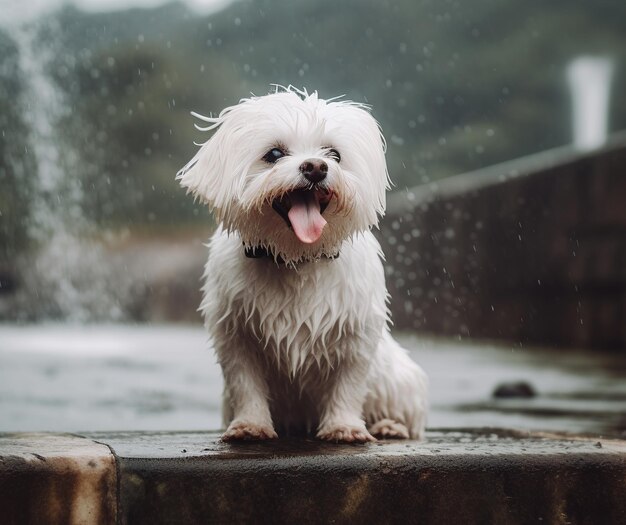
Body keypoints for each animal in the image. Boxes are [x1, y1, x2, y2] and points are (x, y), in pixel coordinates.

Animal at [178, 87, 426, 442]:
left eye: (334, 154)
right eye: (274, 153)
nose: (316, 167)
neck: (296, 258)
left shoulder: (356, 334)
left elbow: (348, 384)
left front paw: (344, 427)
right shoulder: (235, 335)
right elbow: (246, 383)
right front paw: (251, 425)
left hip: (396, 381)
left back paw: (389, 426)